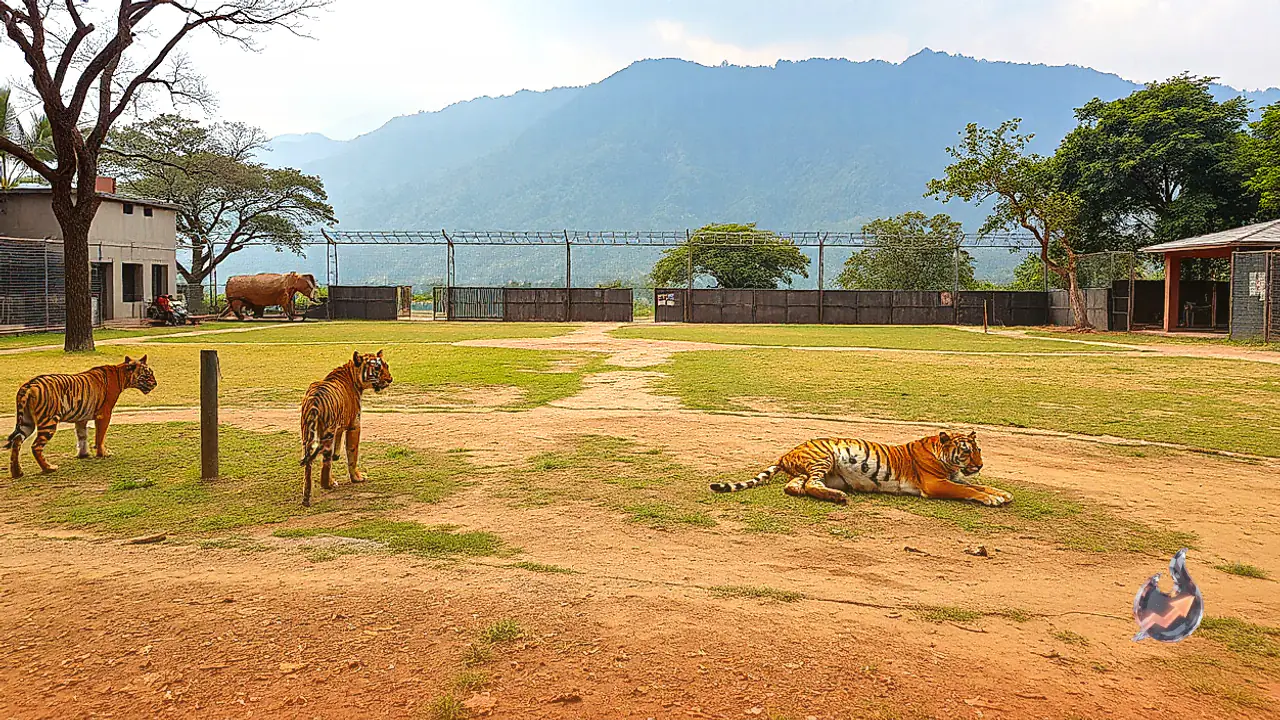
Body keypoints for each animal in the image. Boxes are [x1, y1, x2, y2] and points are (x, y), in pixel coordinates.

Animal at [4, 355, 158, 479]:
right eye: (147, 374)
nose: (155, 384)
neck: (121, 375)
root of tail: (29, 385)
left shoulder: (81, 418)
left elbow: (82, 436)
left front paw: (83, 454)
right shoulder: (104, 414)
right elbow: (100, 436)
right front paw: (103, 453)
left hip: (26, 422)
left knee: (16, 441)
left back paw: (17, 472)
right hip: (49, 421)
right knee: (36, 446)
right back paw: (49, 468)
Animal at [299, 350, 392, 506]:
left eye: (386, 366)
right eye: (377, 368)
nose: (390, 379)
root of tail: (314, 401)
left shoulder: (340, 427)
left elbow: (338, 444)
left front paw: (337, 455)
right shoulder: (355, 425)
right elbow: (352, 454)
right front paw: (357, 478)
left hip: (307, 436)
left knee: (308, 465)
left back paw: (306, 497)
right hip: (327, 434)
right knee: (325, 465)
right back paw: (329, 484)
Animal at [710, 430, 1012, 507]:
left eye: (979, 450)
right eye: (966, 451)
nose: (980, 465)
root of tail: (787, 452)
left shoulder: (955, 478)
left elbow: (978, 485)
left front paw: (1002, 493)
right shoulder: (936, 484)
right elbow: (969, 491)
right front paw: (992, 499)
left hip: (814, 472)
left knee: (796, 486)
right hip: (824, 457)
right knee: (809, 485)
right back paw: (838, 498)